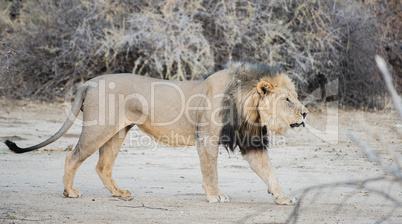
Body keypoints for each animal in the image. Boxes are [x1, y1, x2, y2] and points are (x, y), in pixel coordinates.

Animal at [4, 61, 310, 205]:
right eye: (287, 100)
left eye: (295, 98)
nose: (306, 114)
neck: (247, 105)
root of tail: (90, 81)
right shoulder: (207, 138)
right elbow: (211, 172)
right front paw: (215, 196)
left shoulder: (251, 142)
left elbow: (270, 173)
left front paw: (282, 198)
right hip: (98, 130)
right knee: (73, 157)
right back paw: (69, 191)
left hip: (117, 133)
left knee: (103, 166)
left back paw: (119, 193)